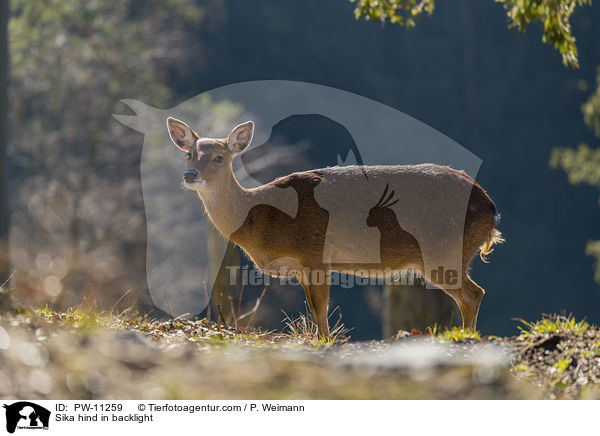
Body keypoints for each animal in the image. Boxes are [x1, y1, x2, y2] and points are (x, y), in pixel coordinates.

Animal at [166, 117, 504, 338]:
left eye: (219, 157)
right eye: (189, 154)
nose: (190, 174)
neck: (263, 218)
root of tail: (491, 209)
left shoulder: (315, 253)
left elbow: (321, 309)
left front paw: (325, 344)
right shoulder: (303, 266)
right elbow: (315, 311)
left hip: (442, 250)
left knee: (473, 294)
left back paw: (468, 340)